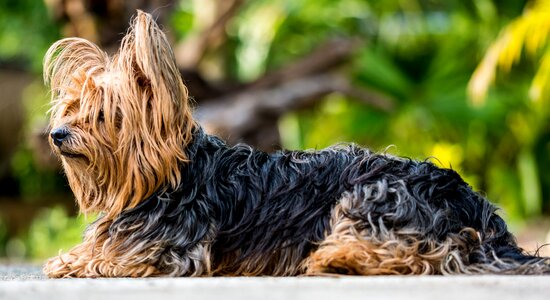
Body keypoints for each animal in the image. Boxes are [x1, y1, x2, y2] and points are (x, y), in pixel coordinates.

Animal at [44, 11, 550, 278]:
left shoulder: (171, 252)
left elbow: (108, 258)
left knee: (427, 254)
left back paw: (335, 257)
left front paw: (73, 260)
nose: (56, 134)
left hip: (375, 194)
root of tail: (476, 207)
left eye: (104, 114)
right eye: (69, 107)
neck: (163, 179)